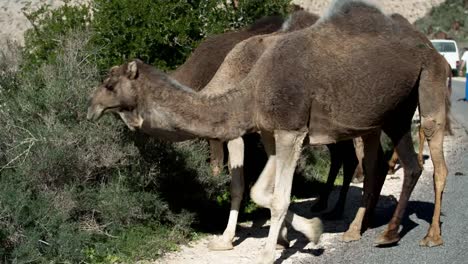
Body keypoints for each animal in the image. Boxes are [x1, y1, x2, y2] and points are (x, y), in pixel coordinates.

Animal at [87, 1, 450, 262]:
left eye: (109, 84)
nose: (91, 107)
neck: (247, 86)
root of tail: (429, 45)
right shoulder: (270, 130)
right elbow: (260, 191)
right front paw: (304, 233)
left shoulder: (289, 129)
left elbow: (273, 196)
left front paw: (267, 250)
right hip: (387, 114)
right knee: (394, 164)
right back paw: (373, 231)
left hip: (428, 81)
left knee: (434, 154)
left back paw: (429, 236)